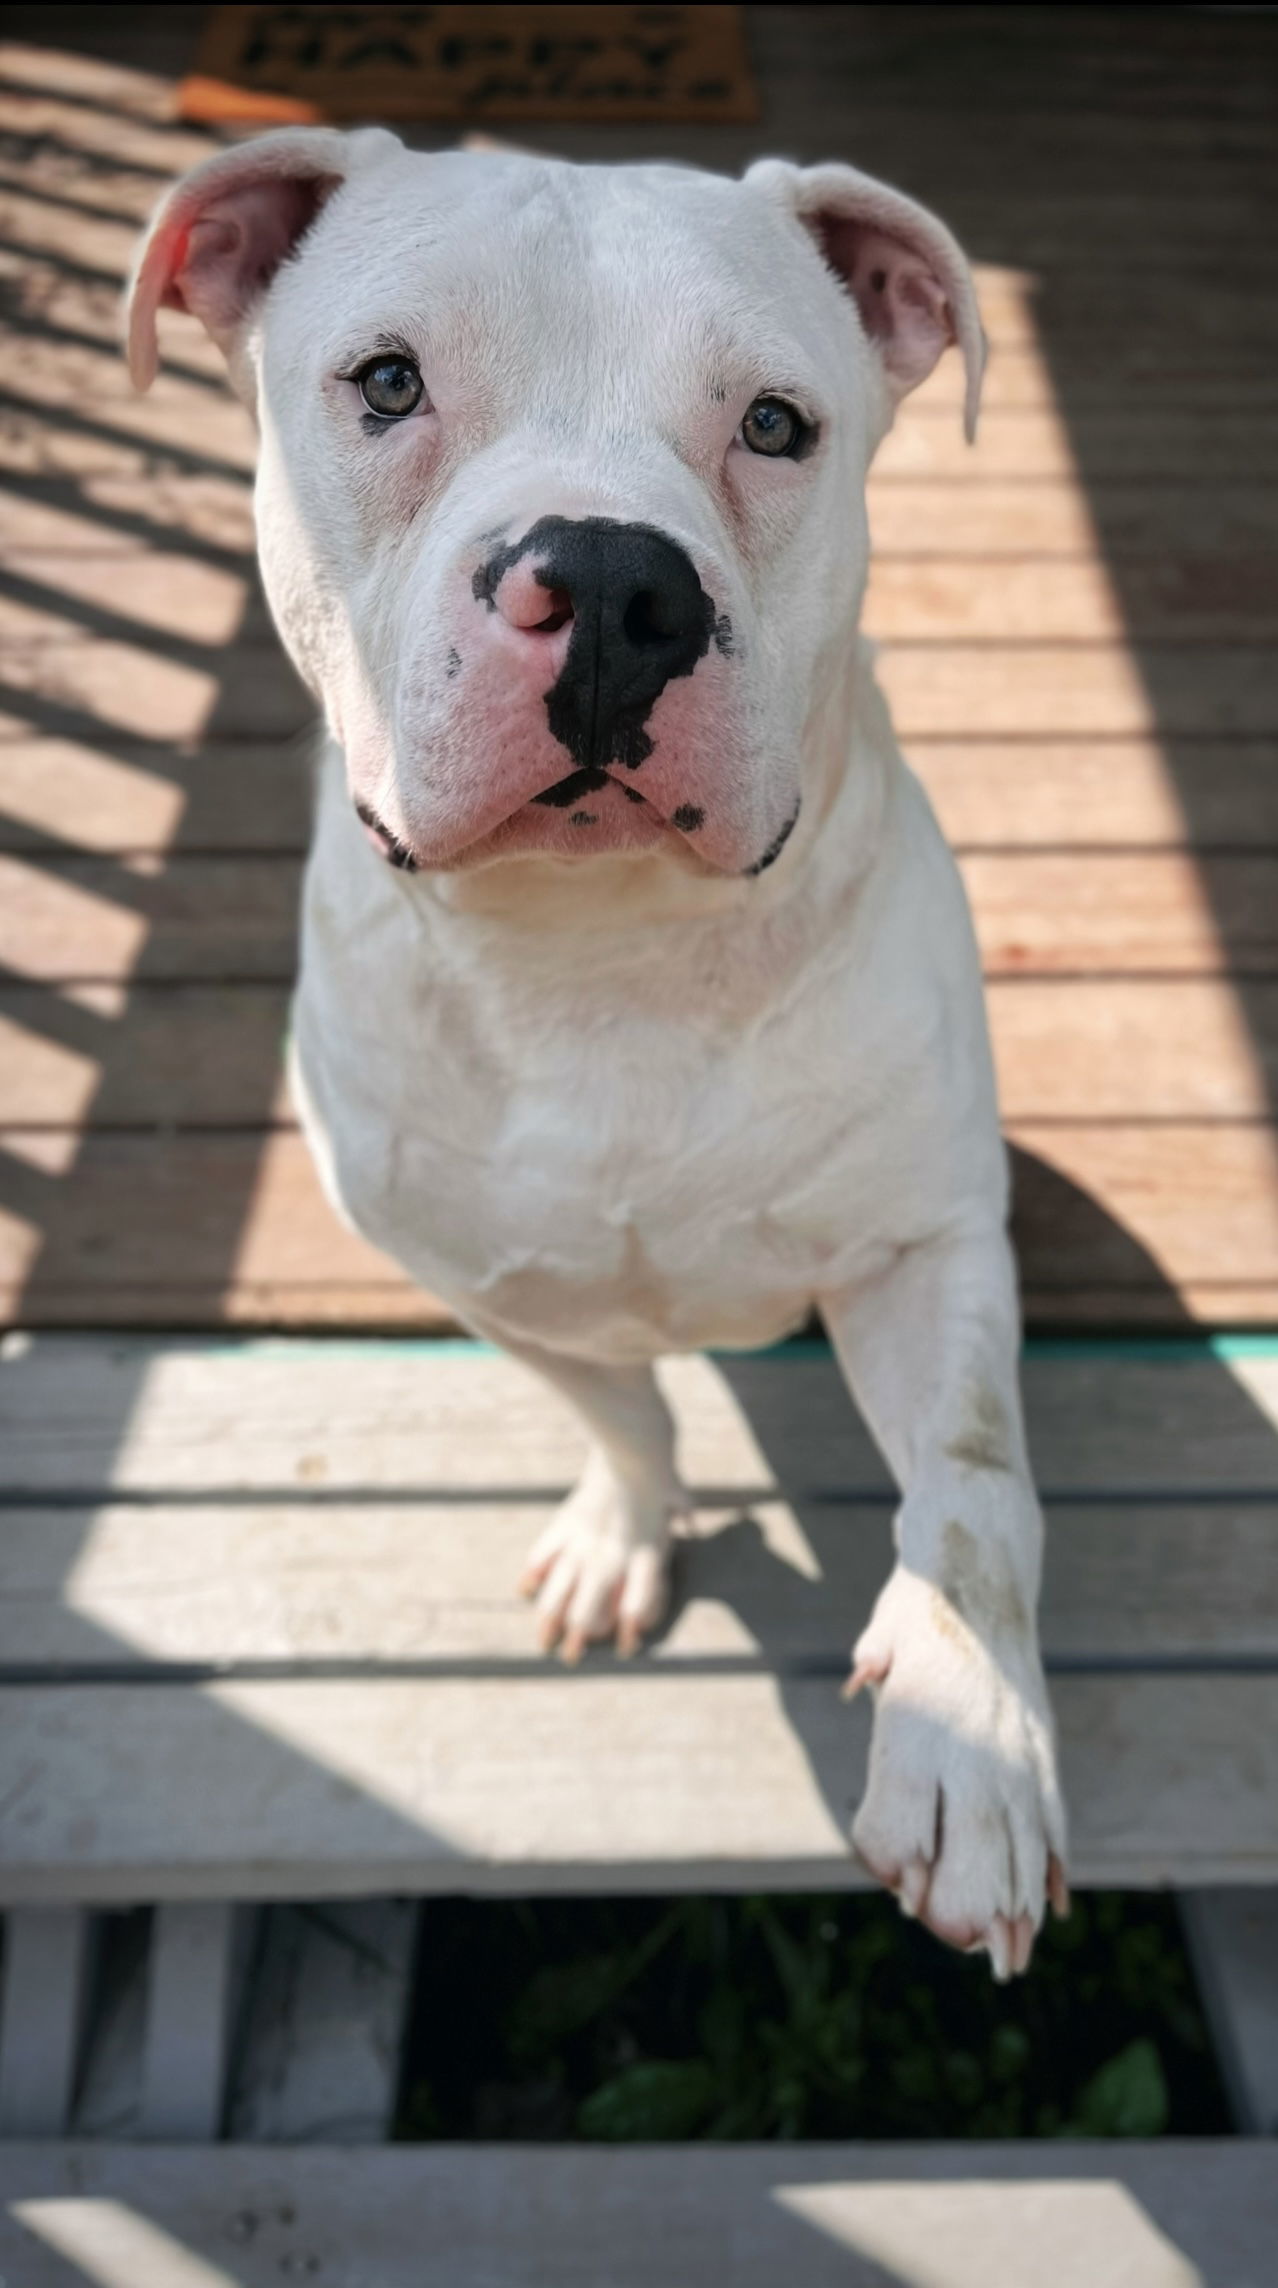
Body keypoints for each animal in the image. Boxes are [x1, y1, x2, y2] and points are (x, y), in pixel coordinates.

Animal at [130, 133, 1069, 1976]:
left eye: (774, 421)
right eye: (388, 382)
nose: (616, 584)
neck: (600, 955)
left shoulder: (922, 1248)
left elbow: (975, 1490)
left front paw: (972, 1744)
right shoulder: (476, 1277)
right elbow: (620, 1408)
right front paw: (620, 1539)